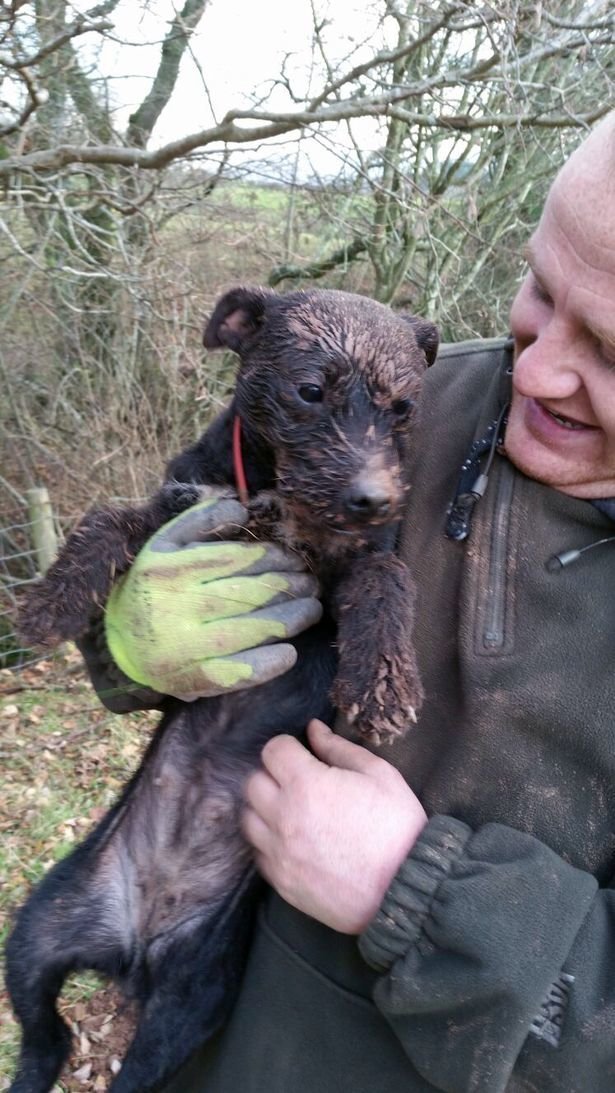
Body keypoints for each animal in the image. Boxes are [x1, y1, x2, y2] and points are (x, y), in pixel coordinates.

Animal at [4, 288, 436, 1093]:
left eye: (403, 407)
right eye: (310, 390)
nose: (371, 498)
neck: (275, 492)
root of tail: (133, 951)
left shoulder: (354, 558)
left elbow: (387, 578)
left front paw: (383, 683)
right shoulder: (178, 508)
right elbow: (106, 515)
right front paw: (50, 601)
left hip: (191, 1000)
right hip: (35, 929)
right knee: (46, 1038)